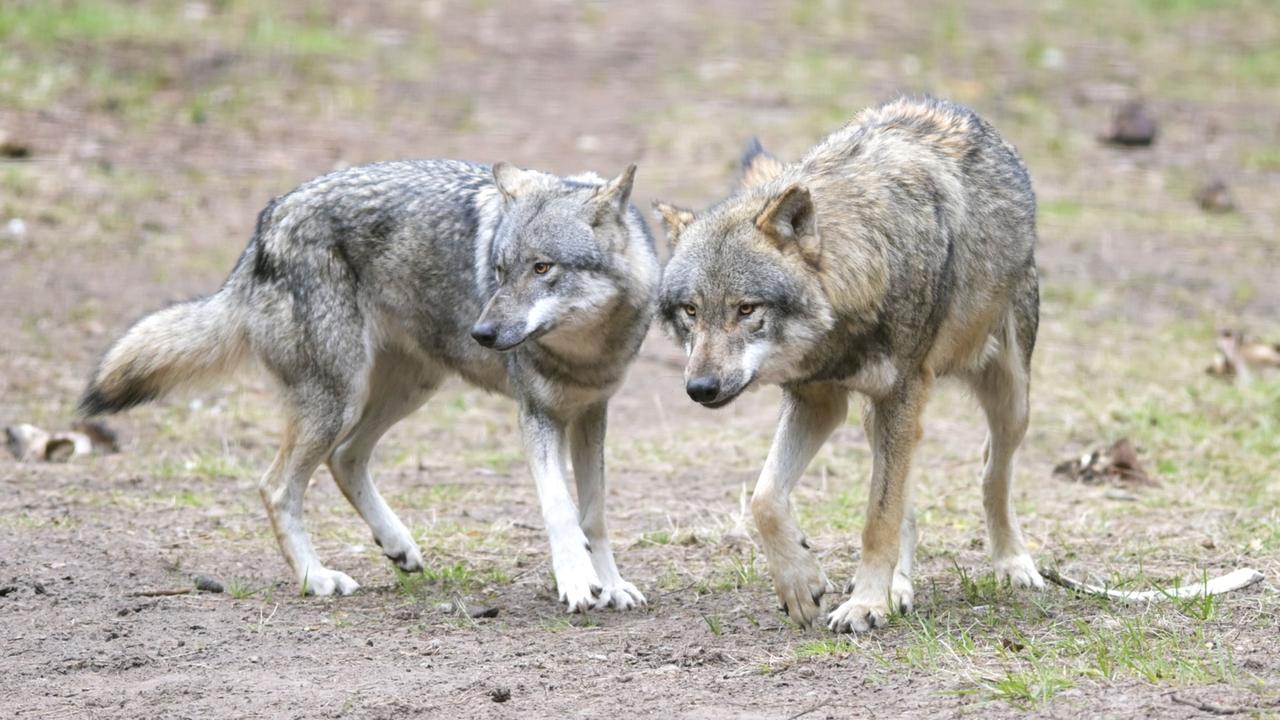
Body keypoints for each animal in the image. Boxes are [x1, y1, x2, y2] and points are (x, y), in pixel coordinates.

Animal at [80, 159, 659, 611]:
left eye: (542, 268)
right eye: (498, 270)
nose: (483, 333)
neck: (585, 351)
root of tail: (266, 224)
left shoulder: (591, 414)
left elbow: (594, 514)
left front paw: (611, 585)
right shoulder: (536, 416)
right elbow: (560, 509)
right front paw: (577, 583)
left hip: (407, 389)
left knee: (345, 458)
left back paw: (396, 545)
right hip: (339, 400)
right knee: (276, 485)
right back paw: (316, 579)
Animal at [654, 97, 1042, 632]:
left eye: (746, 309)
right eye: (691, 311)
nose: (701, 388)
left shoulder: (900, 393)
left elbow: (879, 519)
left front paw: (865, 603)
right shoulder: (818, 400)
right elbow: (765, 499)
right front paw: (802, 584)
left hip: (1009, 398)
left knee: (991, 472)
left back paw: (1012, 563)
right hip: (878, 417)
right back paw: (900, 587)